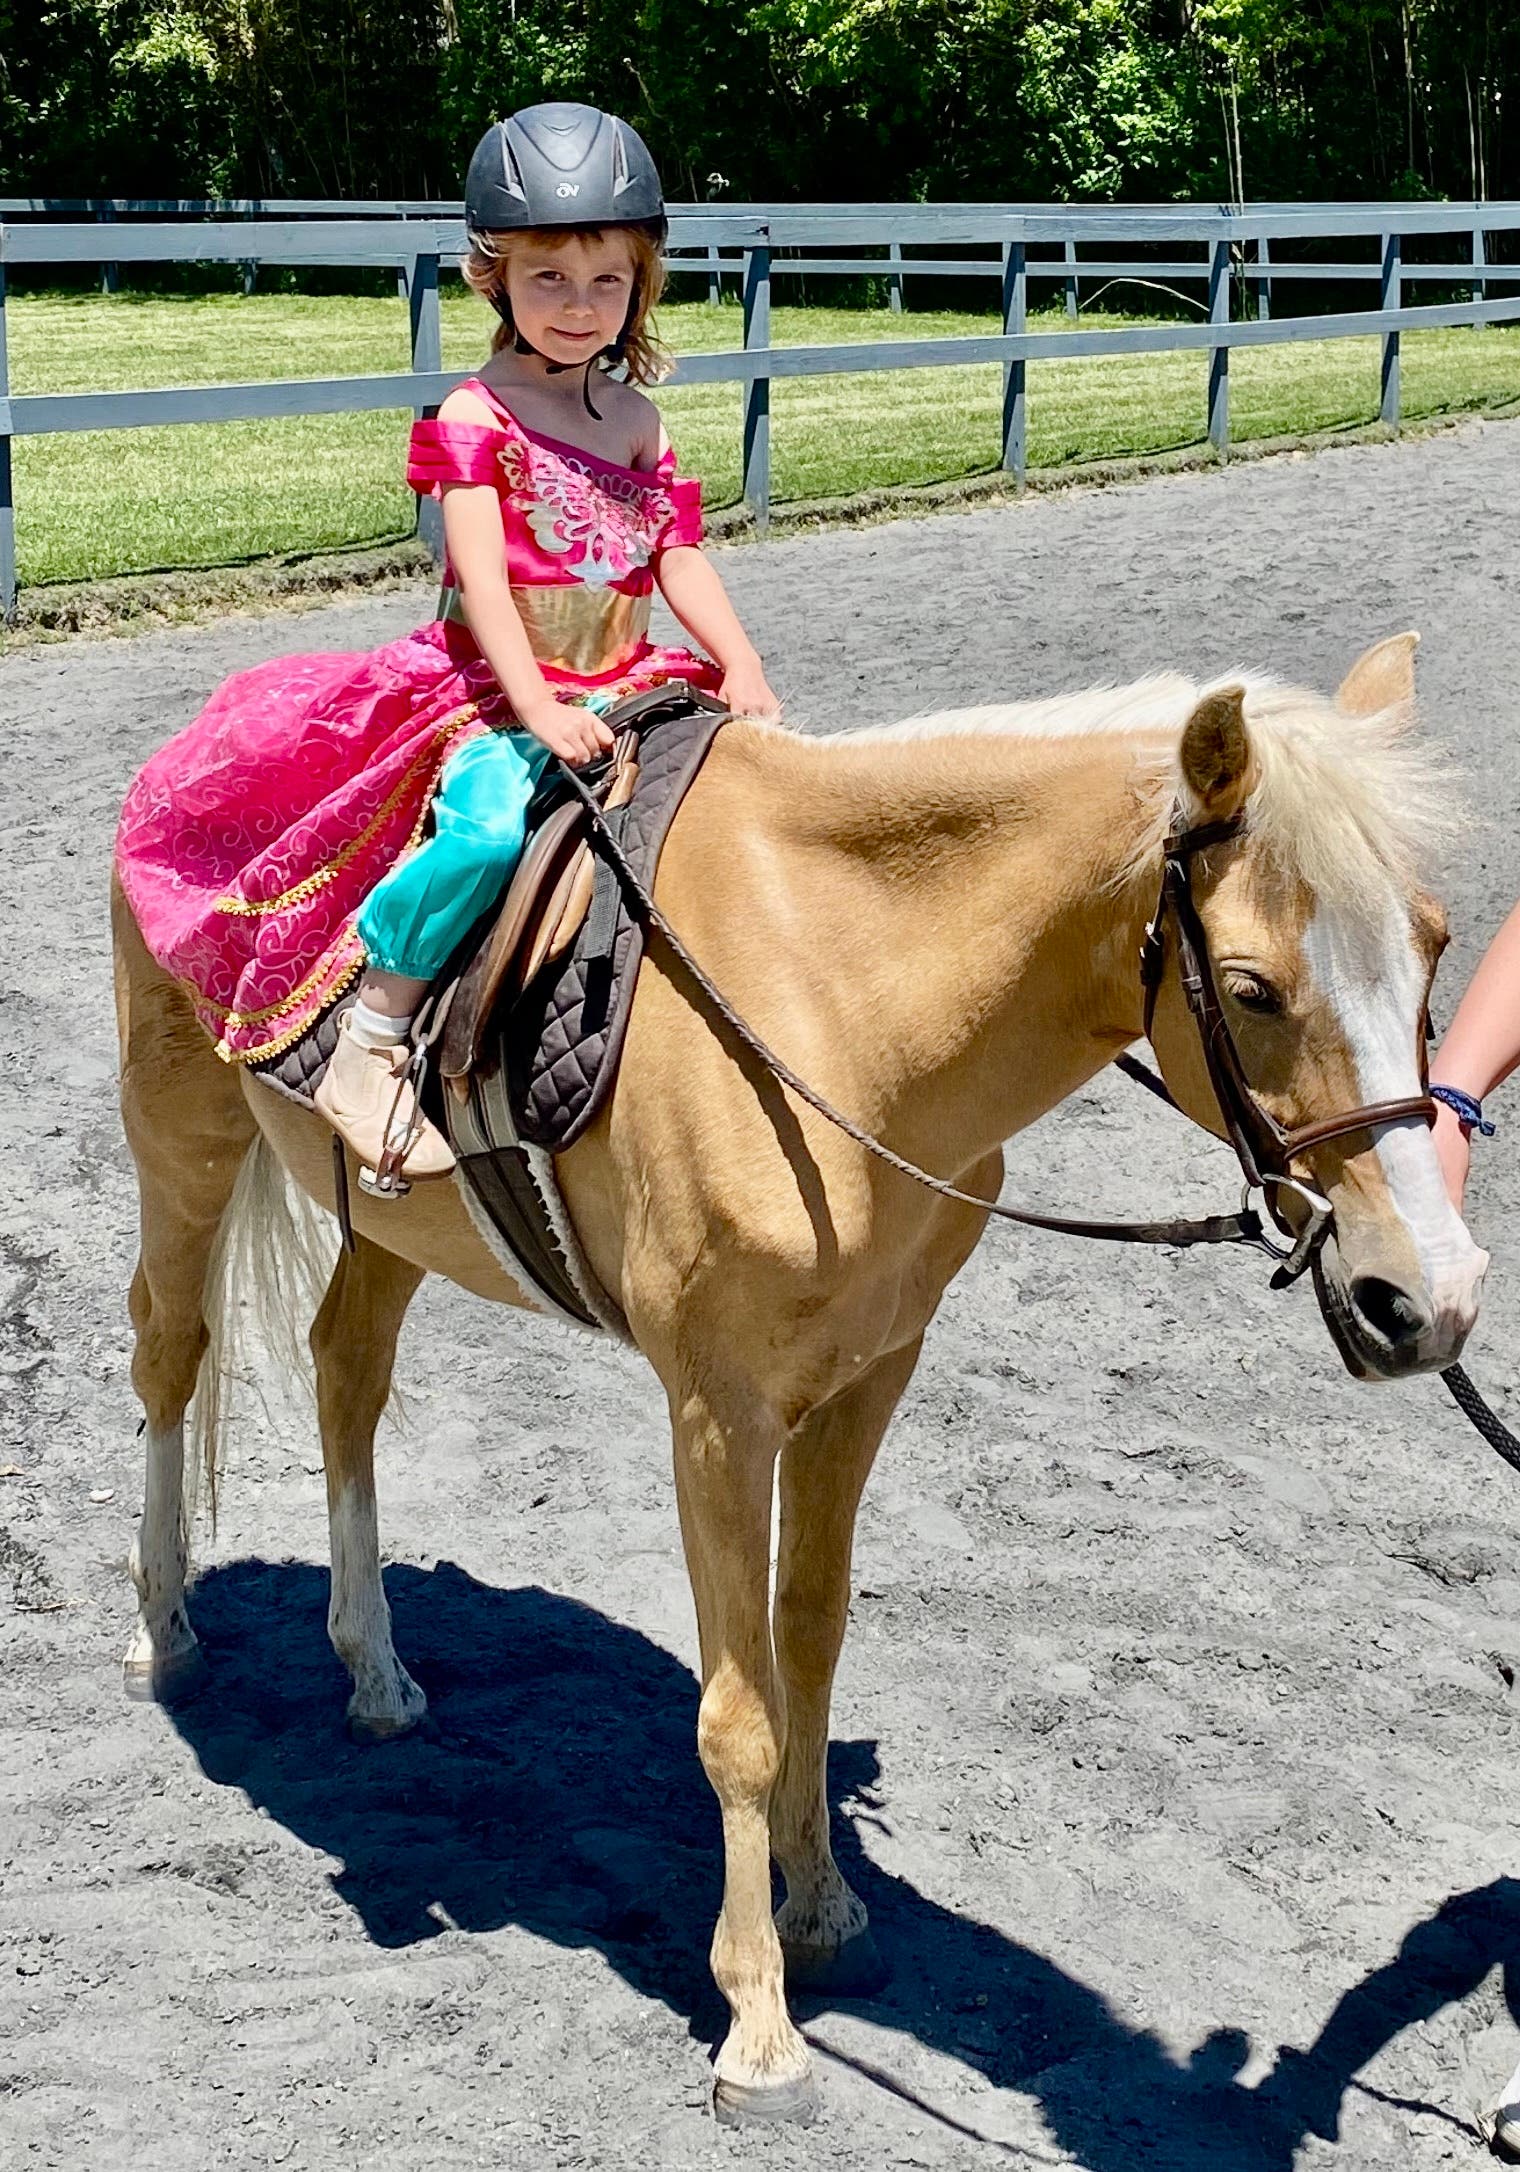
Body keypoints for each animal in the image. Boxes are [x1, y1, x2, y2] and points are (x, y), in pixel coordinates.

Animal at [115, 634, 1485, 2119]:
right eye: (1248, 989)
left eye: (1433, 948)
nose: (1432, 1299)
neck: (834, 996)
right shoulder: (718, 1413)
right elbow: (738, 1715)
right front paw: (758, 2030)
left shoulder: (869, 1375)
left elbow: (810, 1645)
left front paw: (823, 1907)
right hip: (181, 1134)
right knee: (168, 1353)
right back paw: (163, 1634)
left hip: (390, 1215)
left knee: (345, 1371)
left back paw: (374, 1671)